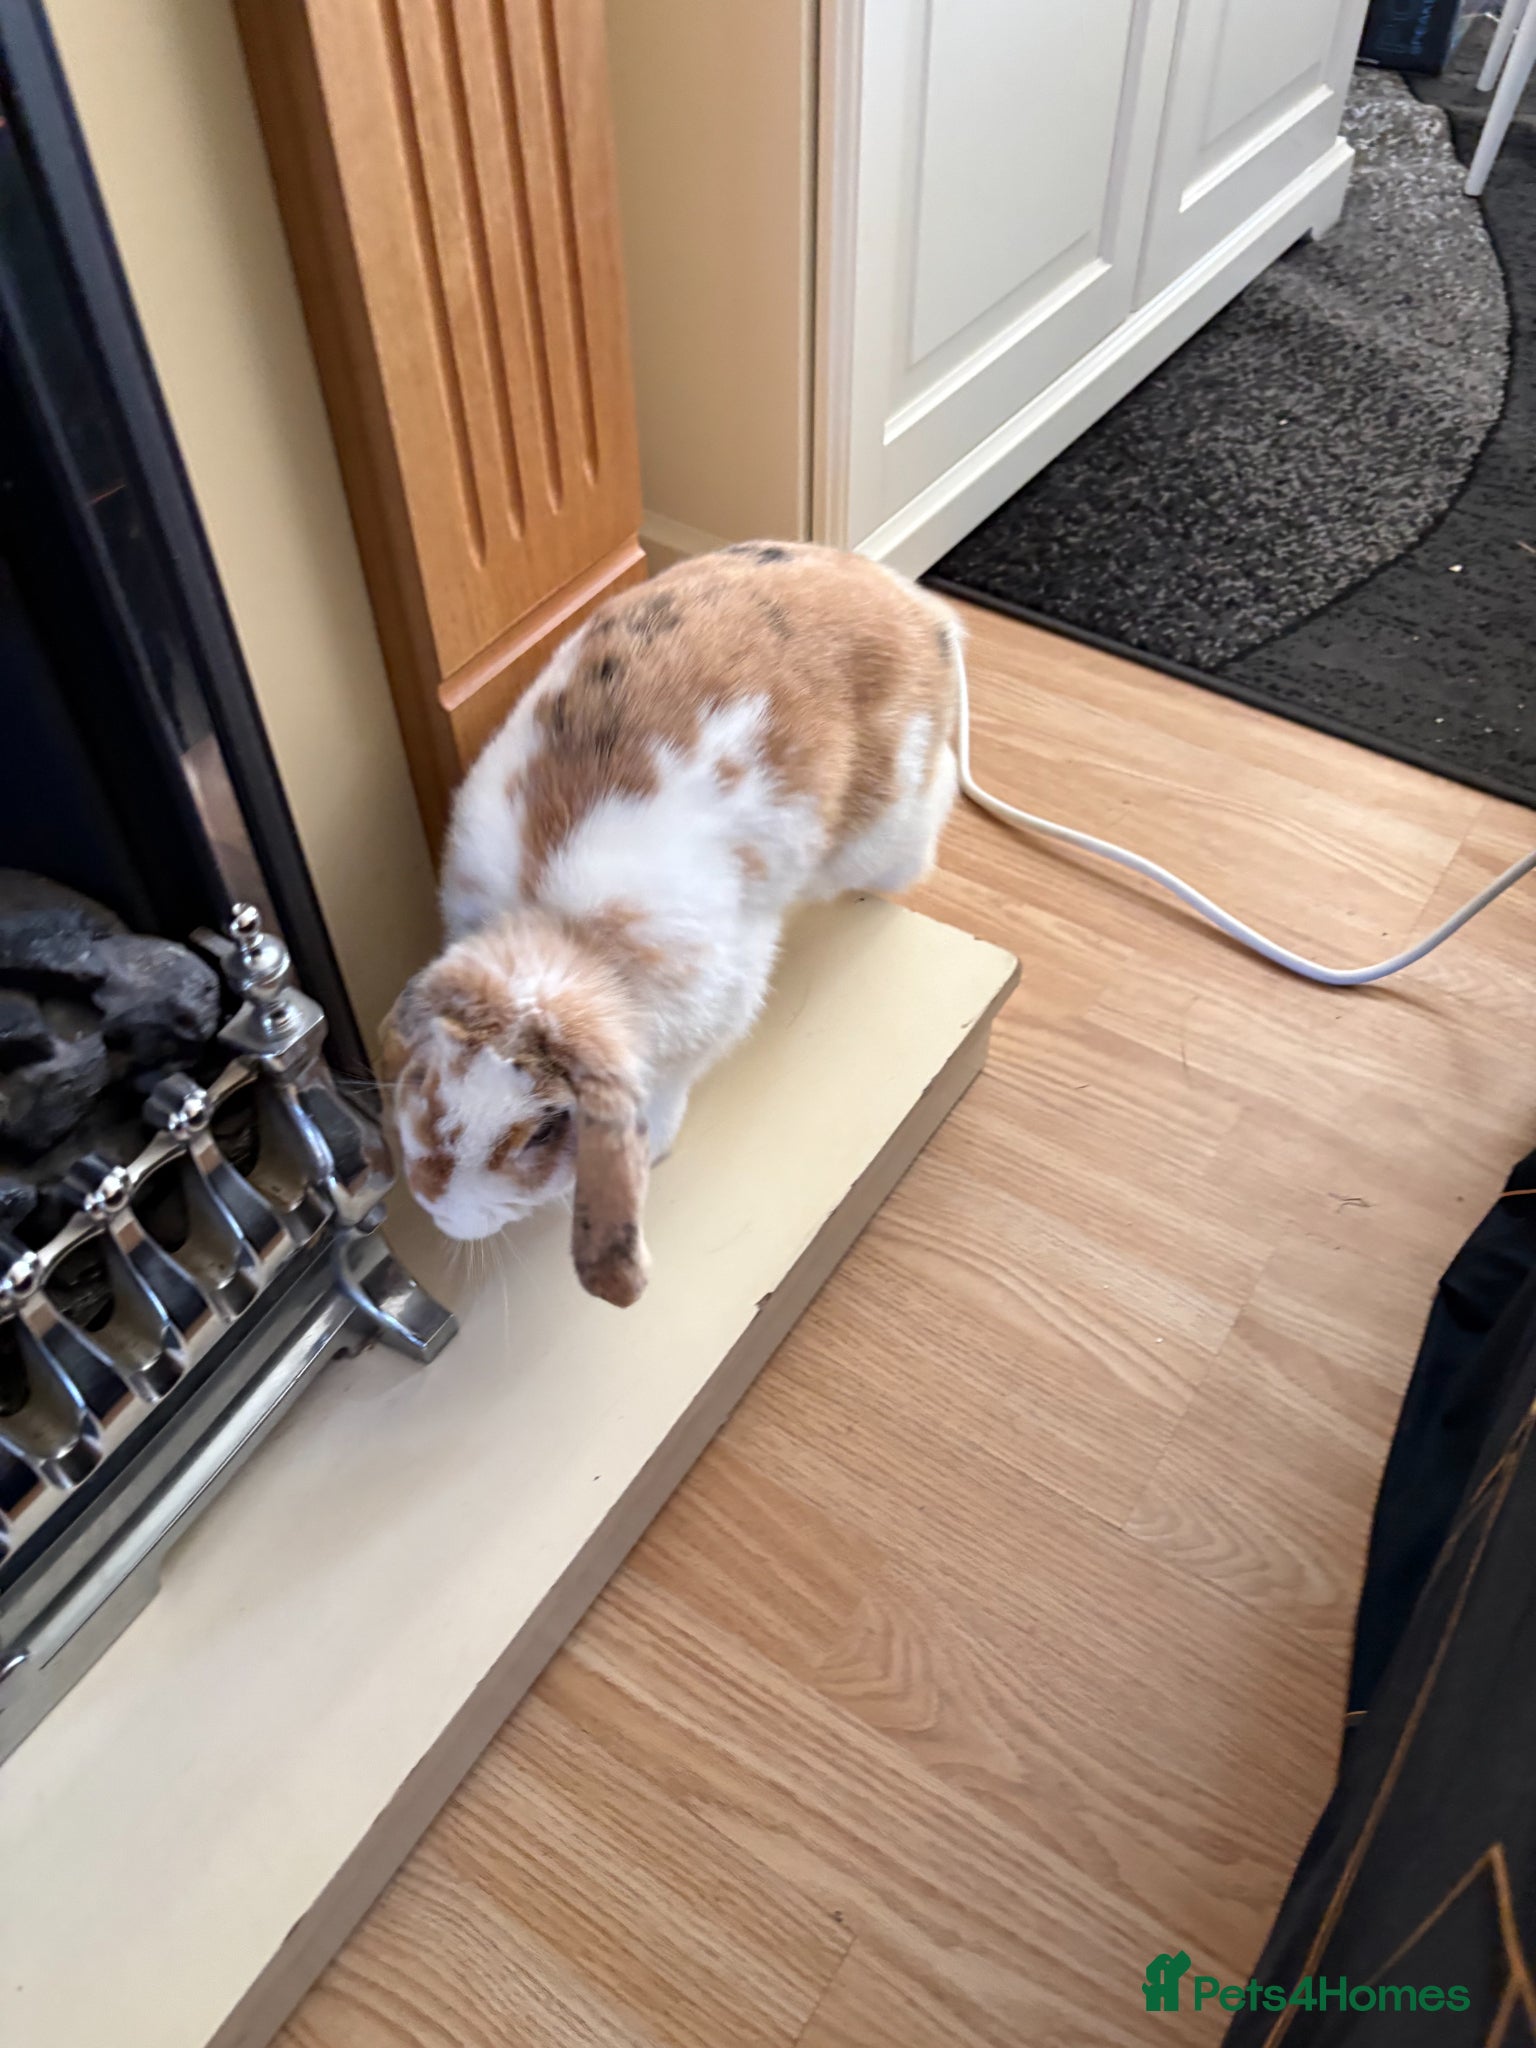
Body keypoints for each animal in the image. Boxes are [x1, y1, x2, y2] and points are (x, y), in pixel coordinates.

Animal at [380, 542, 962, 1308]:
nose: (436, 1209)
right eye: (422, 1084)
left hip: (890, 827)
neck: (564, 933)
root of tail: (916, 608)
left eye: (542, 1135)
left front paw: (653, 1147)